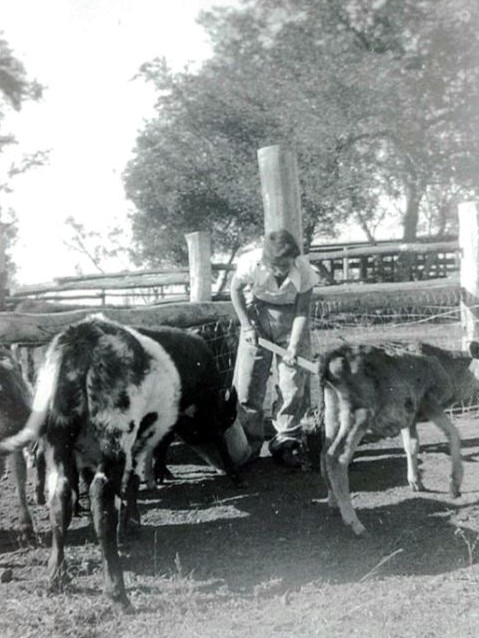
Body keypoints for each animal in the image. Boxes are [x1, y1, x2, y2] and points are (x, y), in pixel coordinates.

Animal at [0, 316, 240, 608]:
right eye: (223, 420)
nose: (230, 469)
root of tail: (83, 334)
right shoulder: (144, 440)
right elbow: (134, 479)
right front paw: (131, 524)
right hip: (114, 436)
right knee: (101, 500)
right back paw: (116, 590)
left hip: (58, 441)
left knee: (60, 499)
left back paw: (57, 576)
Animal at [316, 342, 472, 536]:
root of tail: (332, 356)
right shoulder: (428, 400)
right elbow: (453, 433)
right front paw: (454, 485)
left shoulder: (409, 415)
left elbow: (412, 444)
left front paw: (416, 482)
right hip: (360, 412)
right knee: (336, 457)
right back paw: (354, 522)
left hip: (332, 411)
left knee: (324, 451)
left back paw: (333, 500)